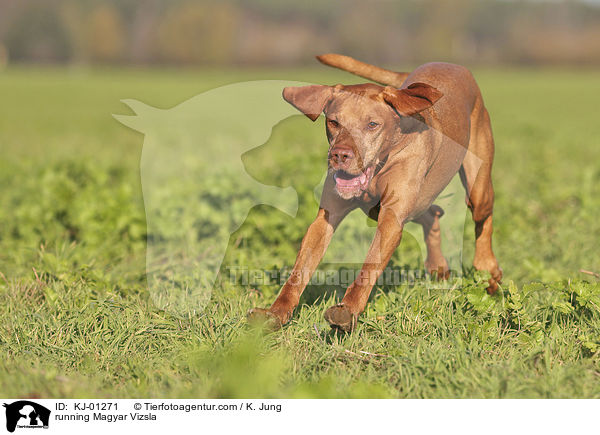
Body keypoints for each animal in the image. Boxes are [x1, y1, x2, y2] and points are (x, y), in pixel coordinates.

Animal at [247, 54, 502, 334]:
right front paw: (275, 313)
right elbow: (299, 270)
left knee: (483, 218)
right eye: (333, 122)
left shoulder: (391, 218)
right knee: (433, 213)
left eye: (372, 124)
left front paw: (348, 310)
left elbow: (369, 265)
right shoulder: (327, 217)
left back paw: (488, 273)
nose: (340, 155)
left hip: (477, 186)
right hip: (414, 203)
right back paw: (438, 268)